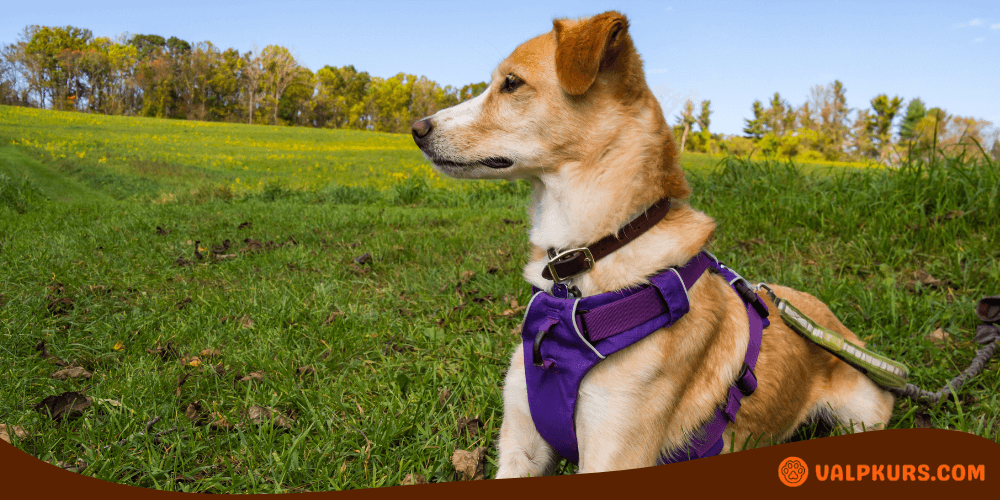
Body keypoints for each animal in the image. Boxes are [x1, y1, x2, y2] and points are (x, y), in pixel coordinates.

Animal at [410, 9, 896, 474]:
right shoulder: (521, 447)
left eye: (512, 84)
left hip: (861, 415)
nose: (417, 128)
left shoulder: (613, 454)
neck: (586, 262)